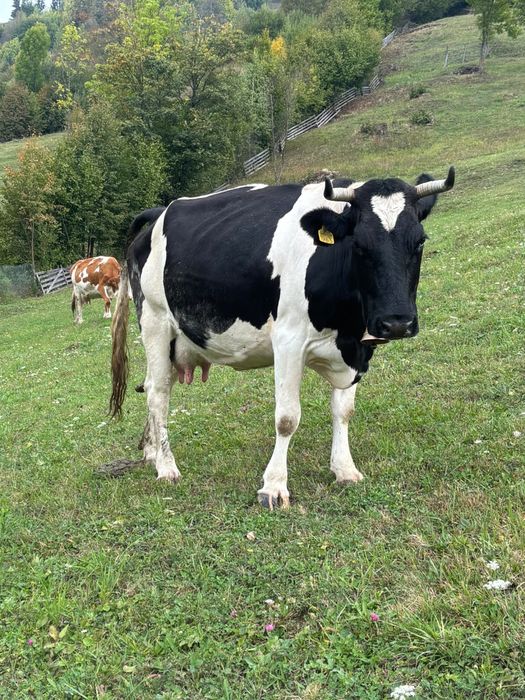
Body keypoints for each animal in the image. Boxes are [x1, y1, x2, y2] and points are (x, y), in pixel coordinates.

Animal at [109, 168, 455, 508]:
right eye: (359, 245)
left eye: (420, 242)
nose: (396, 323)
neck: (346, 329)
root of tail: (159, 212)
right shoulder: (289, 340)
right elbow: (287, 417)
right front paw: (273, 486)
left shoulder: (357, 349)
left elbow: (343, 410)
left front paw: (345, 469)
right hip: (154, 321)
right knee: (158, 392)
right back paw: (166, 466)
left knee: (153, 385)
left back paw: (151, 451)